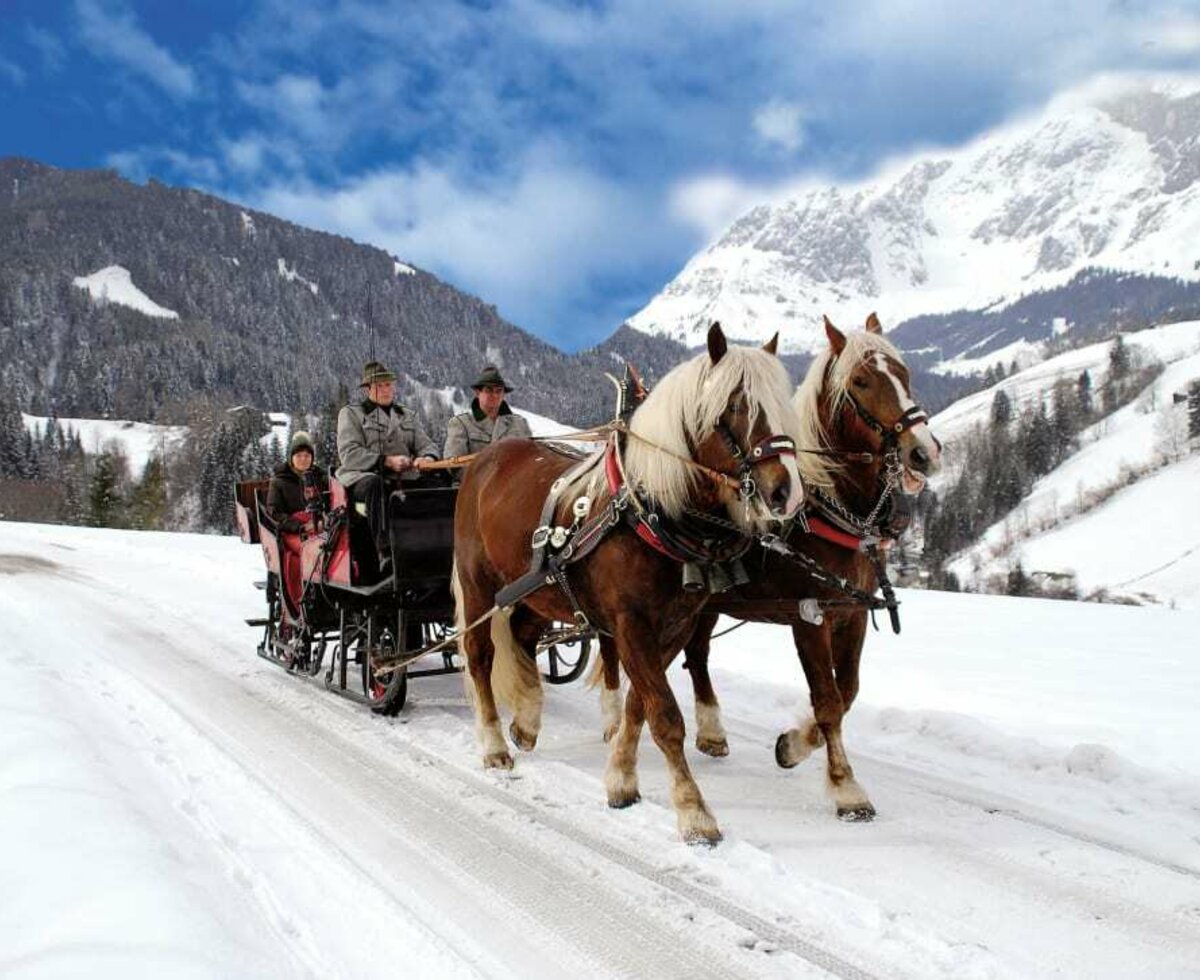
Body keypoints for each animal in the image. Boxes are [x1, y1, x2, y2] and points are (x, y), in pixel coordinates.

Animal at [453, 323, 801, 844]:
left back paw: (528, 722)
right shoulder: (631, 623)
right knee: (480, 656)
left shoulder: (673, 627)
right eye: (737, 406)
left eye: (783, 402)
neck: (648, 509)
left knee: (522, 638)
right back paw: (495, 744)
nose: (786, 492)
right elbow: (666, 716)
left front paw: (620, 779)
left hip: (535, 591)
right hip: (477, 585)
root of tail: (484, 459)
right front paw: (694, 812)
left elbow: (641, 705)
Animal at [595, 314, 940, 820]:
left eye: (905, 374)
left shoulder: (851, 613)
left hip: (704, 605)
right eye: (861, 381)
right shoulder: (808, 616)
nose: (924, 451)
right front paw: (845, 787)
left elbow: (848, 691)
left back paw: (711, 731)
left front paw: (793, 745)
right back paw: (614, 720)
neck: (826, 506)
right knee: (615, 652)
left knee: (696, 655)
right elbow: (829, 700)